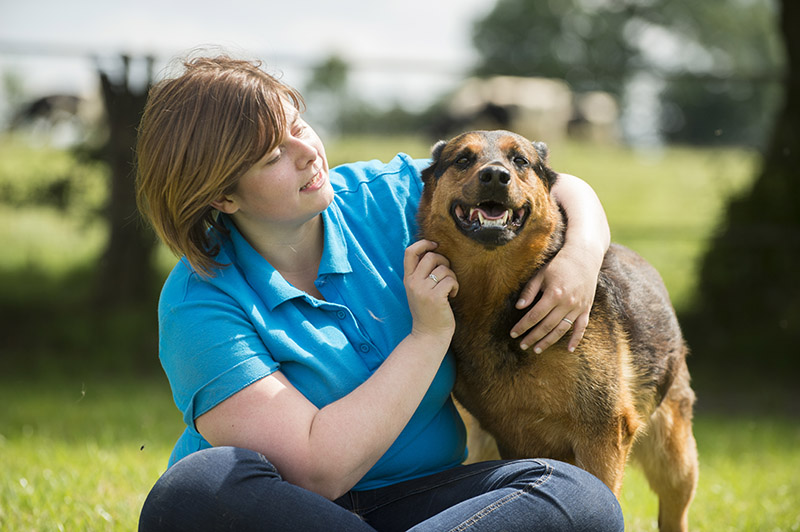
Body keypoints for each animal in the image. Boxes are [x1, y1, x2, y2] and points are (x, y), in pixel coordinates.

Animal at [418, 130, 700, 532]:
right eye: (463, 160)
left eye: (520, 161)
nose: (495, 176)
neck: (494, 297)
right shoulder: (498, 437)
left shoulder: (602, 434)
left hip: (675, 460)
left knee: (674, 510)